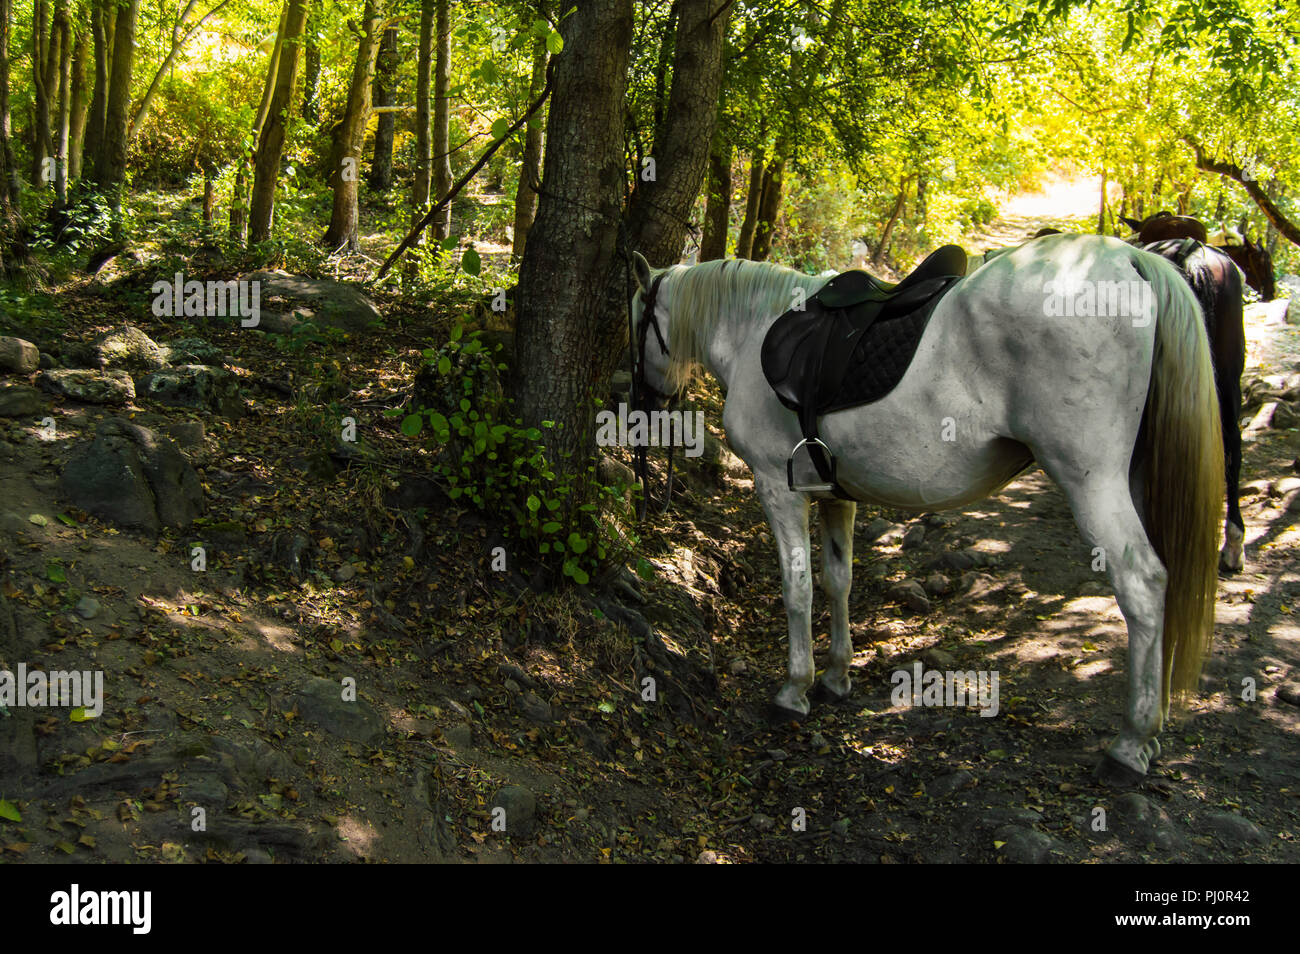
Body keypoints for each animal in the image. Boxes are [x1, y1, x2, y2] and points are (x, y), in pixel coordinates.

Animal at [634, 233, 1222, 785]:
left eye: (635, 318)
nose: (645, 402)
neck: (753, 330)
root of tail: (1130, 258)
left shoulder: (779, 490)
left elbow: (797, 590)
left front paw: (794, 690)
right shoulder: (835, 497)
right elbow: (837, 580)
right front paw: (836, 678)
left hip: (1091, 481)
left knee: (1143, 585)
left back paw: (1130, 744)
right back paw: (1149, 734)